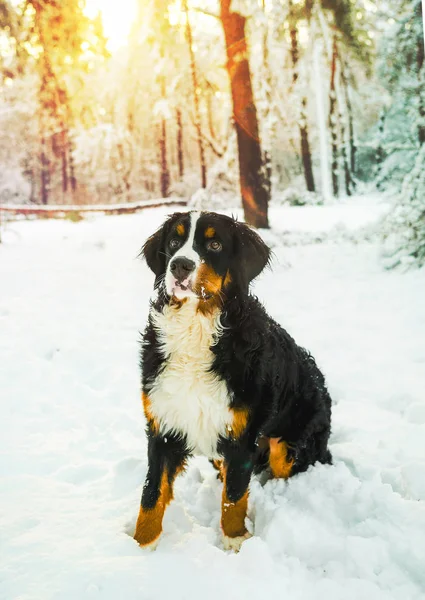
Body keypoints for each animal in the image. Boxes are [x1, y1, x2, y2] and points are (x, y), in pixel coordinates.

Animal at [132, 212, 332, 552]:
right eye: (174, 241)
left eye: (215, 244)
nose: (180, 265)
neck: (196, 327)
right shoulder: (163, 423)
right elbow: (152, 493)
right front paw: (139, 548)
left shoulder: (241, 434)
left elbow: (234, 497)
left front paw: (235, 541)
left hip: (289, 441)